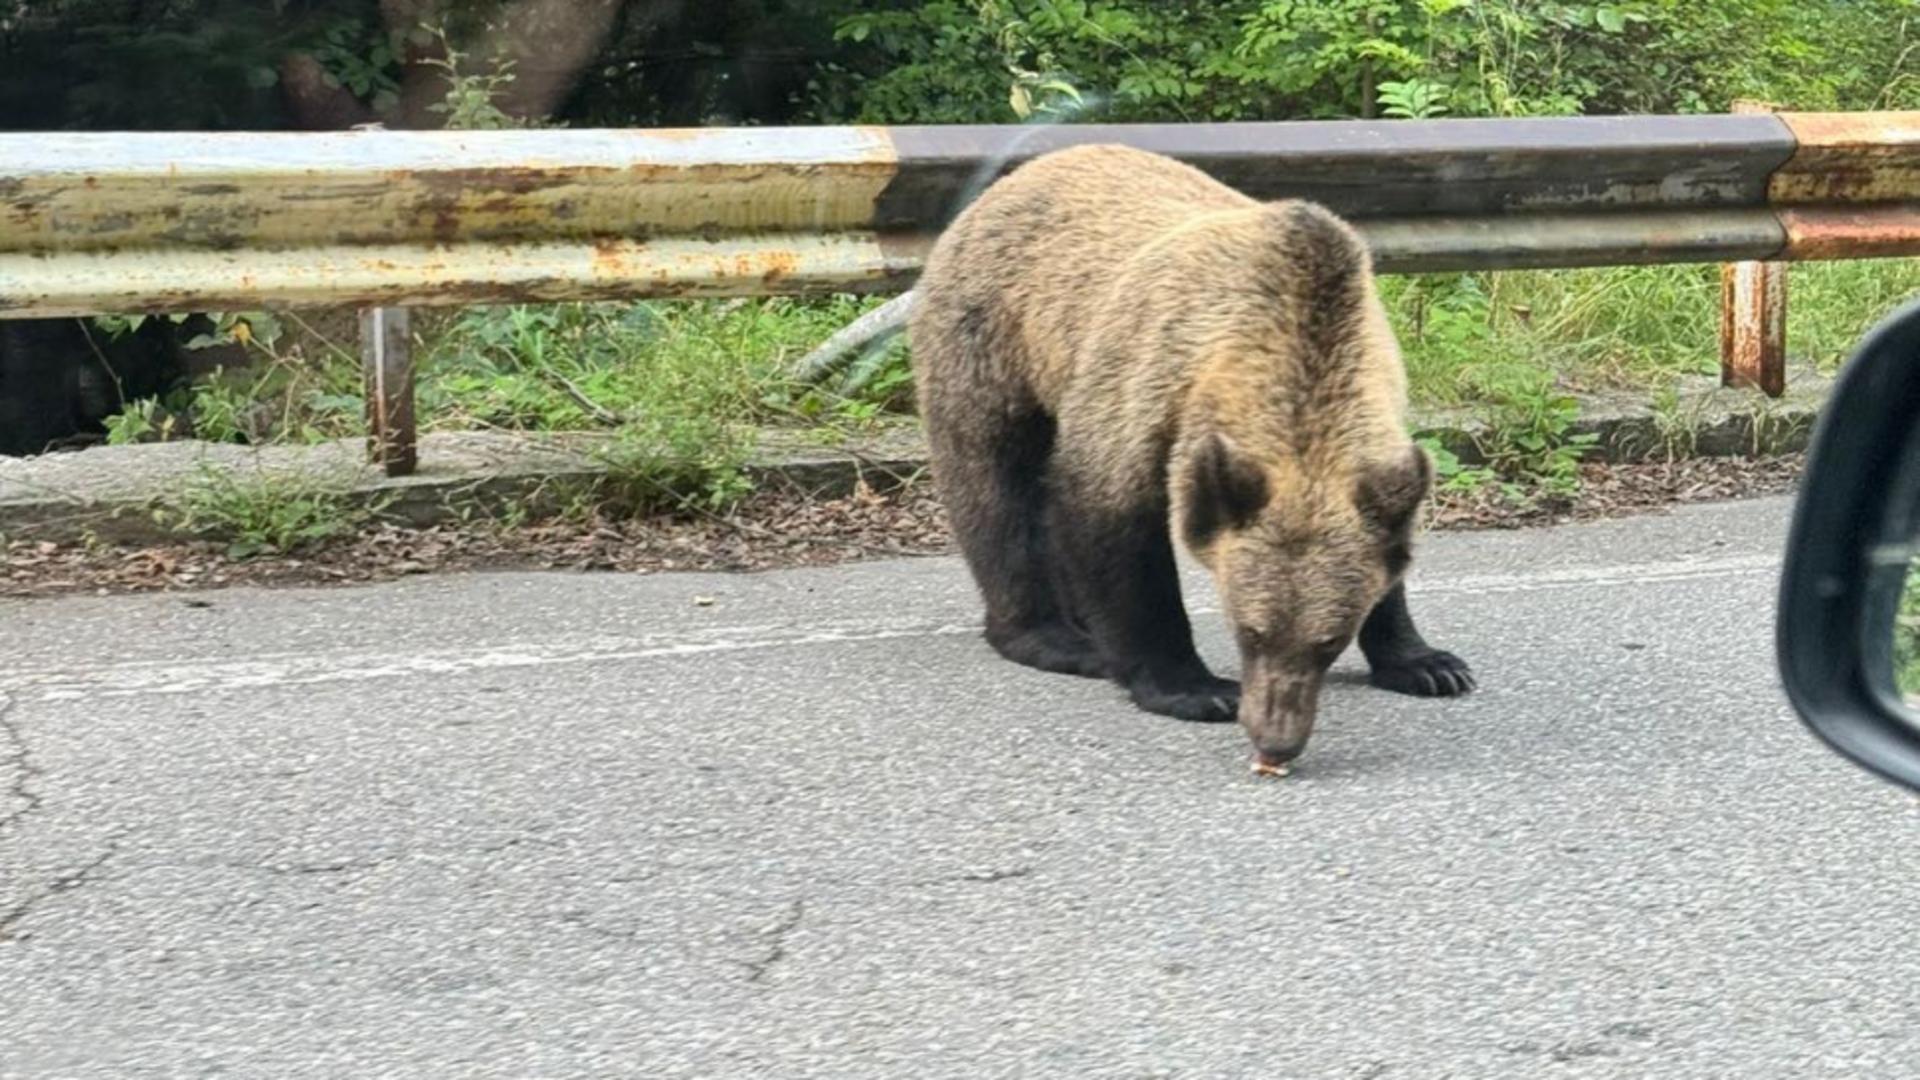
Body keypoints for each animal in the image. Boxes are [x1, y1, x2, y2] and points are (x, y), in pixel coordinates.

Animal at [906, 143, 1474, 764]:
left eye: (1329, 640)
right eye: (1250, 629)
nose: (1276, 740)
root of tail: (1005, 184)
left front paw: (1428, 663)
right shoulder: (1145, 386)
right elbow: (1117, 532)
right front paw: (1193, 687)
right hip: (991, 341)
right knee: (994, 491)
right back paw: (1054, 636)